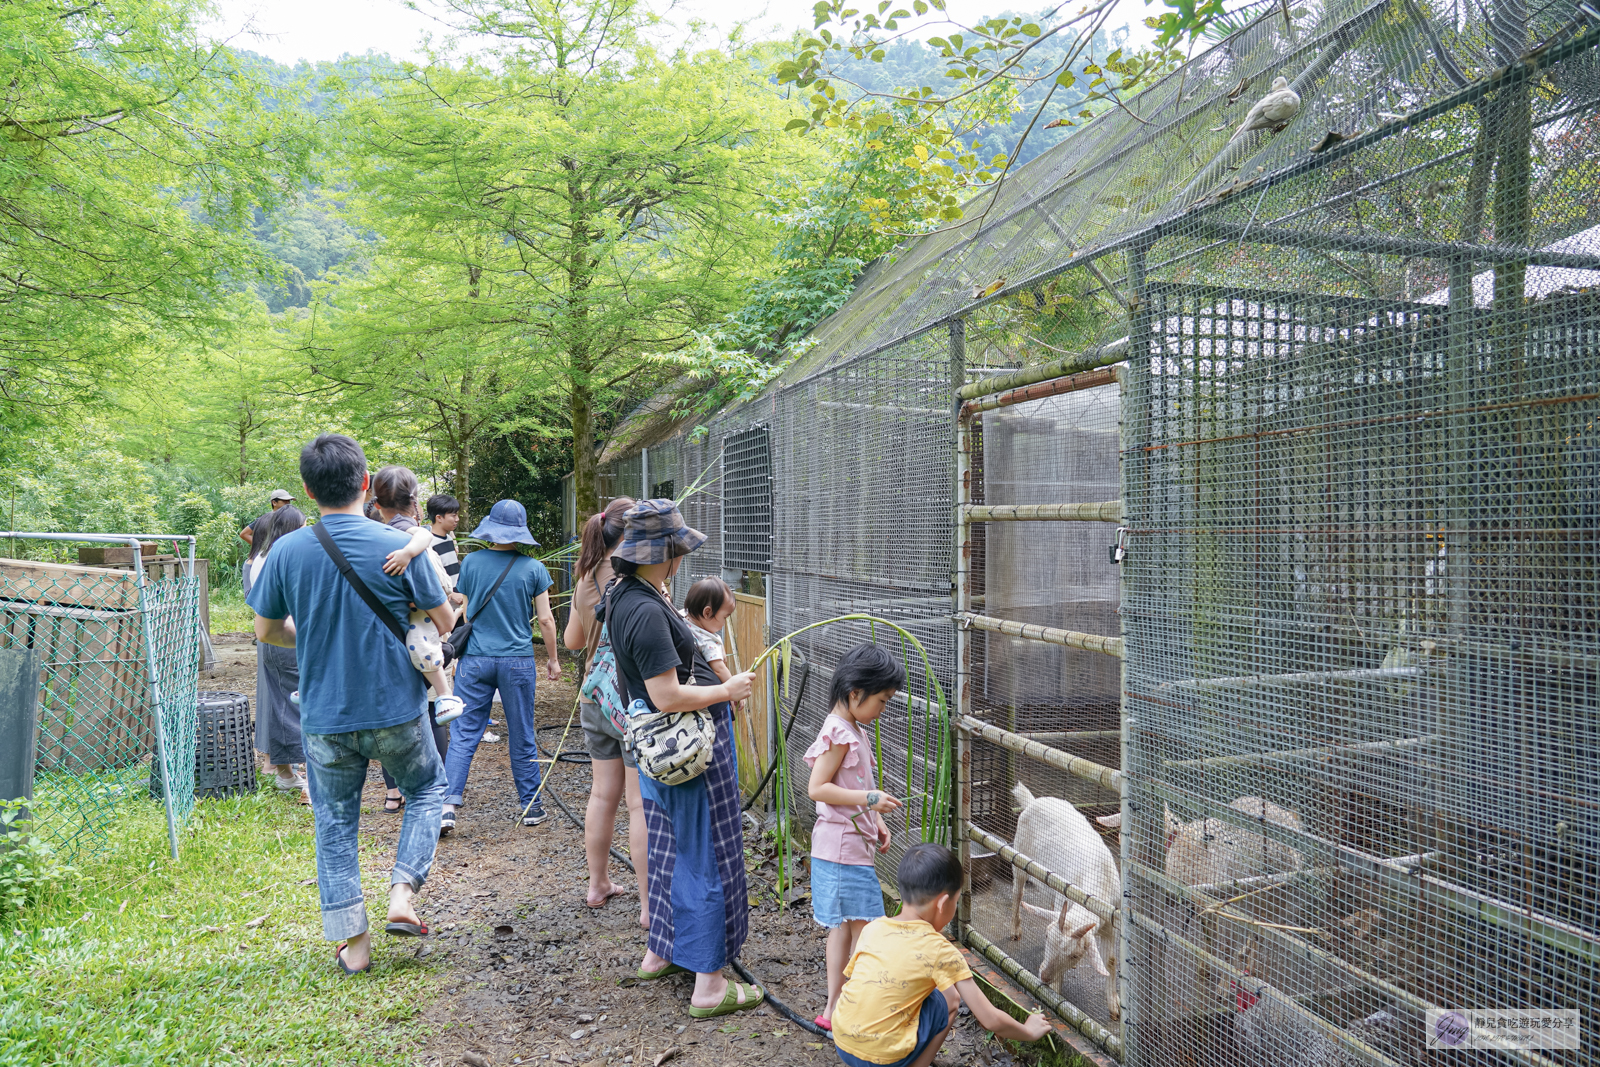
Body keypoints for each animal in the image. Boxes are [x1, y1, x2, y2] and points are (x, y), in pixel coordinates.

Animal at [1004, 780, 1120, 1023]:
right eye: (1047, 937)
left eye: (1075, 955)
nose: (1044, 976)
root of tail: (1032, 801)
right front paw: (1054, 991)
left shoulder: (1110, 922)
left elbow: (1111, 961)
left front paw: (1114, 1005)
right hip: (1020, 859)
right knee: (1017, 893)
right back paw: (1015, 929)